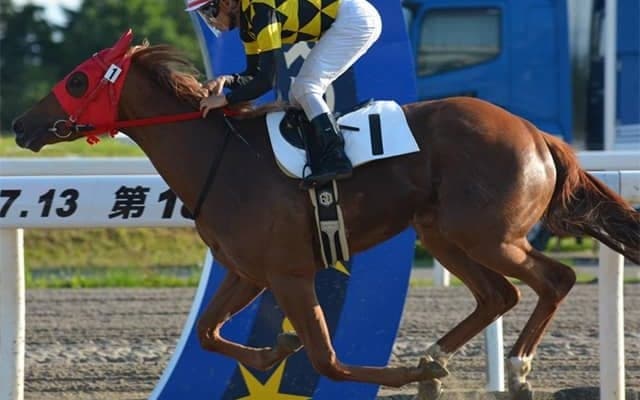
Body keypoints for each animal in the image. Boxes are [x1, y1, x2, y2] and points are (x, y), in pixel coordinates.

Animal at [11, 32, 640, 400]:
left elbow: (329, 361)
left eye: (76, 79)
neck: (224, 156)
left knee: (553, 279)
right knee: (498, 295)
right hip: (440, 232)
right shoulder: (248, 272)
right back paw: (438, 354)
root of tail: (538, 134)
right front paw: (273, 351)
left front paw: (409, 376)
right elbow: (211, 333)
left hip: (488, 235)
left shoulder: (290, 274)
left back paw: (518, 368)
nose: (20, 124)